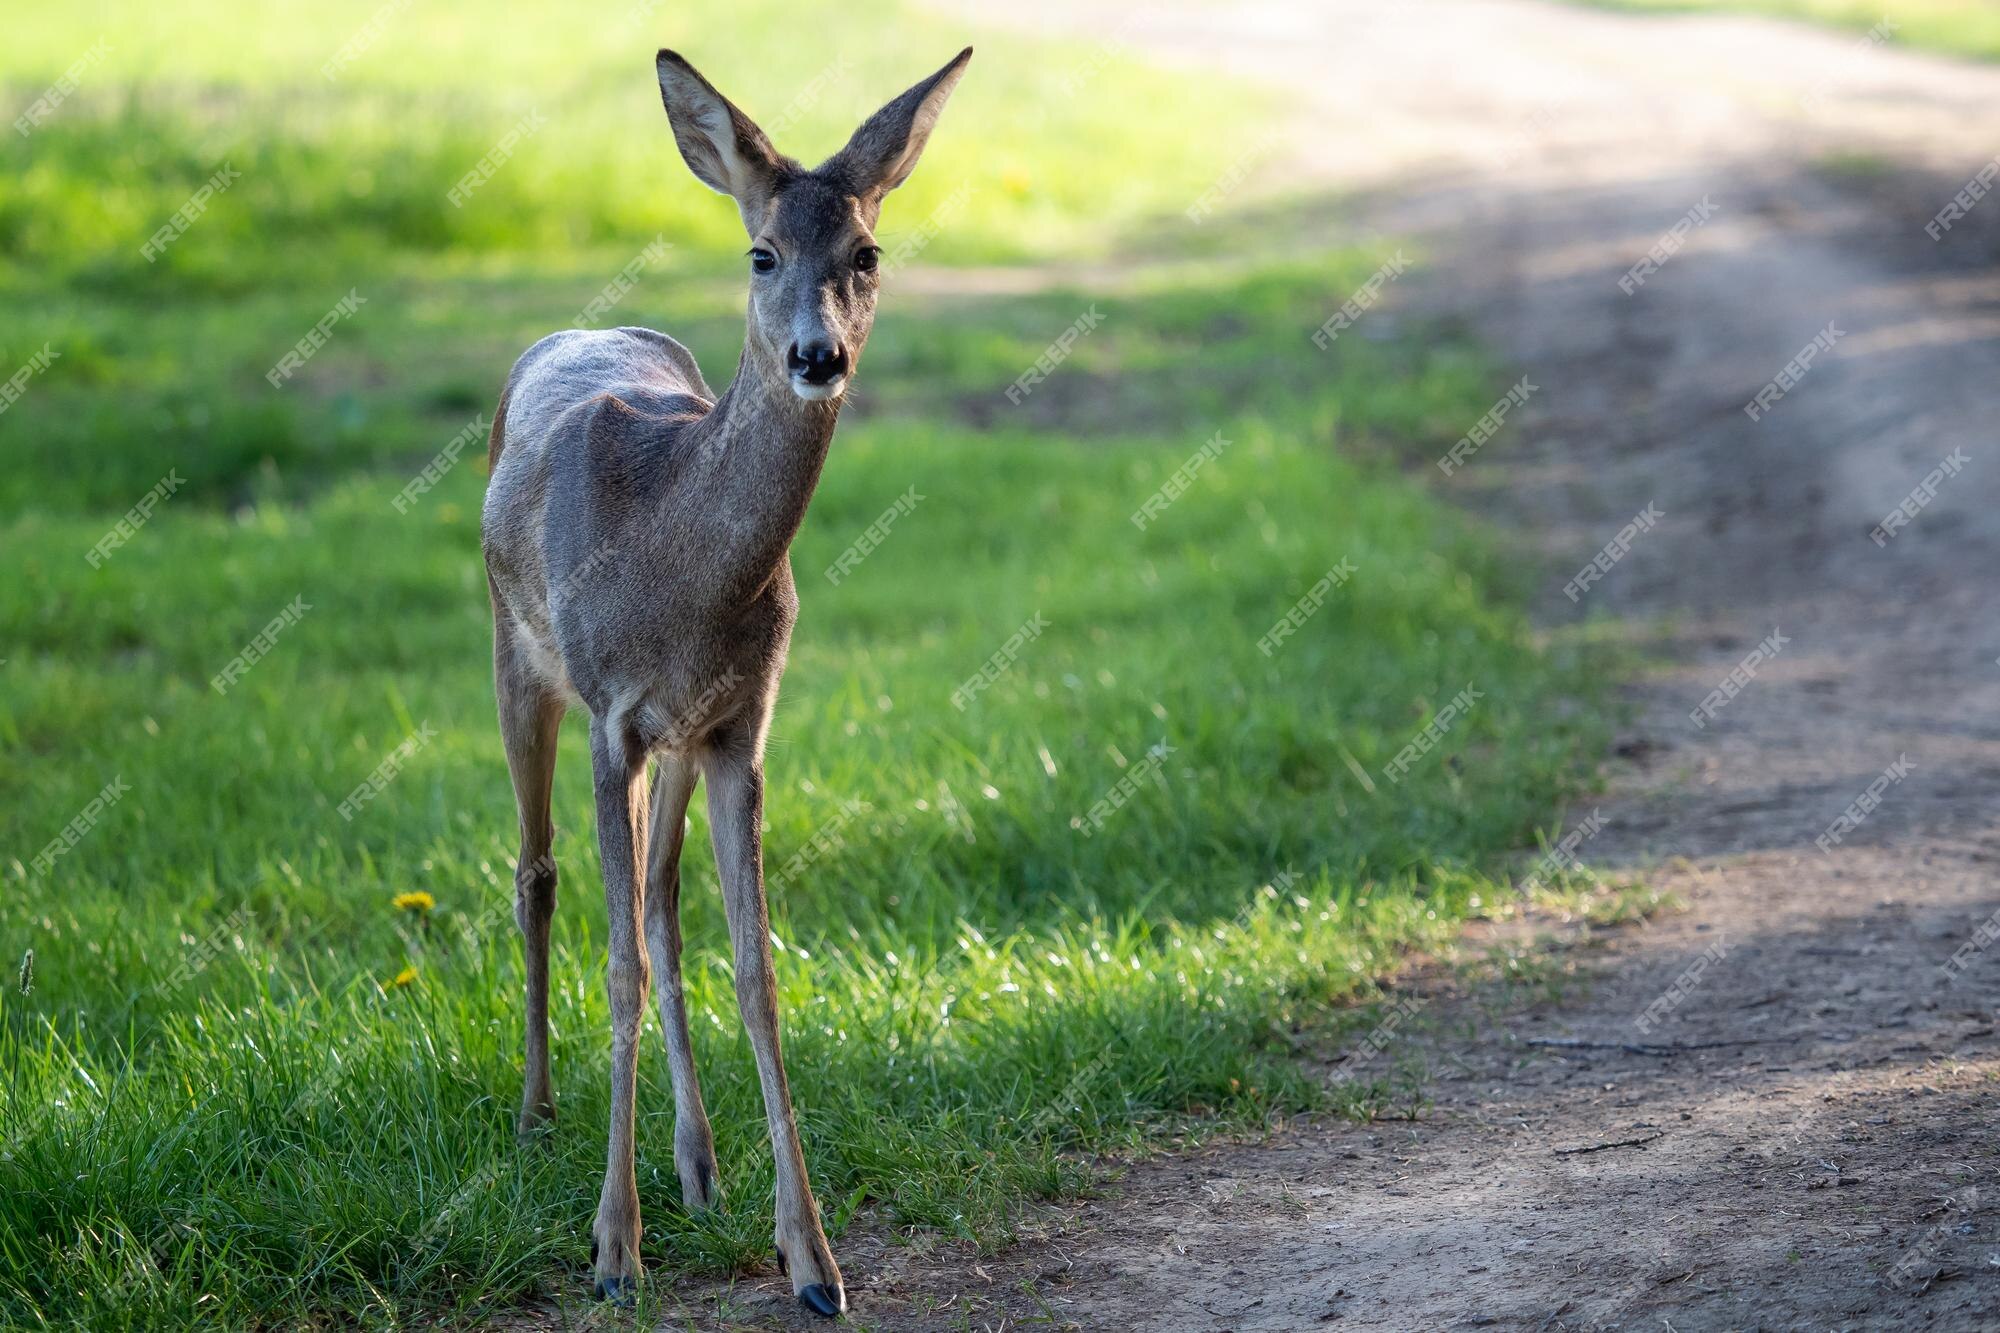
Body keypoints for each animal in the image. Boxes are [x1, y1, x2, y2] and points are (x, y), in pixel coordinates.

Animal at [488, 46, 980, 1312]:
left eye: (865, 252)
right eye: (760, 252)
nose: (817, 355)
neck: (678, 562)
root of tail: (570, 332)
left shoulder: (740, 727)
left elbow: (752, 967)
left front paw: (810, 1257)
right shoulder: (611, 714)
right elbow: (615, 963)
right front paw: (613, 1251)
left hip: (675, 741)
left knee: (662, 903)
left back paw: (697, 1164)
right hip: (516, 658)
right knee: (537, 873)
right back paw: (535, 1112)